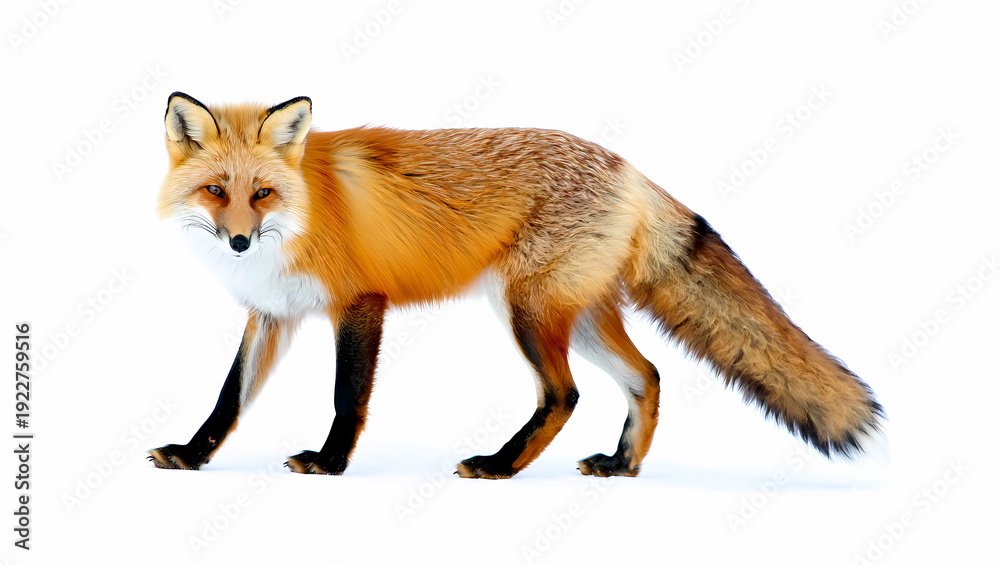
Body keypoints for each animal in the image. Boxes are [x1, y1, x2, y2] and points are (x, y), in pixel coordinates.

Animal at [148, 92, 883, 479]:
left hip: (526, 312)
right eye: (216, 192)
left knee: (565, 394)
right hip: (575, 317)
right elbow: (228, 399)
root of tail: (627, 168)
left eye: (262, 193)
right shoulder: (271, 313)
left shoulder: (359, 304)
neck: (302, 213)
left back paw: (501, 466)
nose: (240, 242)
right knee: (647, 376)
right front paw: (191, 453)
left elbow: (346, 397)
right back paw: (622, 466)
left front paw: (330, 464)